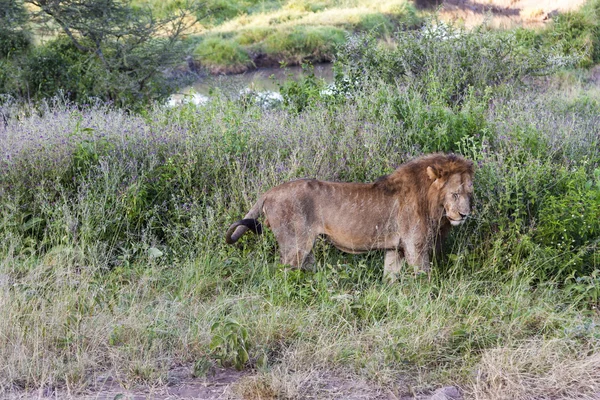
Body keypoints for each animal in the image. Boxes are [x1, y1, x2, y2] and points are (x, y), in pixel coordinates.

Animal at [225, 152, 474, 278]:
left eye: (469, 193)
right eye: (454, 194)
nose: (464, 215)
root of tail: (269, 192)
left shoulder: (395, 249)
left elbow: (390, 278)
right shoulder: (416, 247)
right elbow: (425, 280)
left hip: (305, 249)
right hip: (295, 244)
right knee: (283, 275)